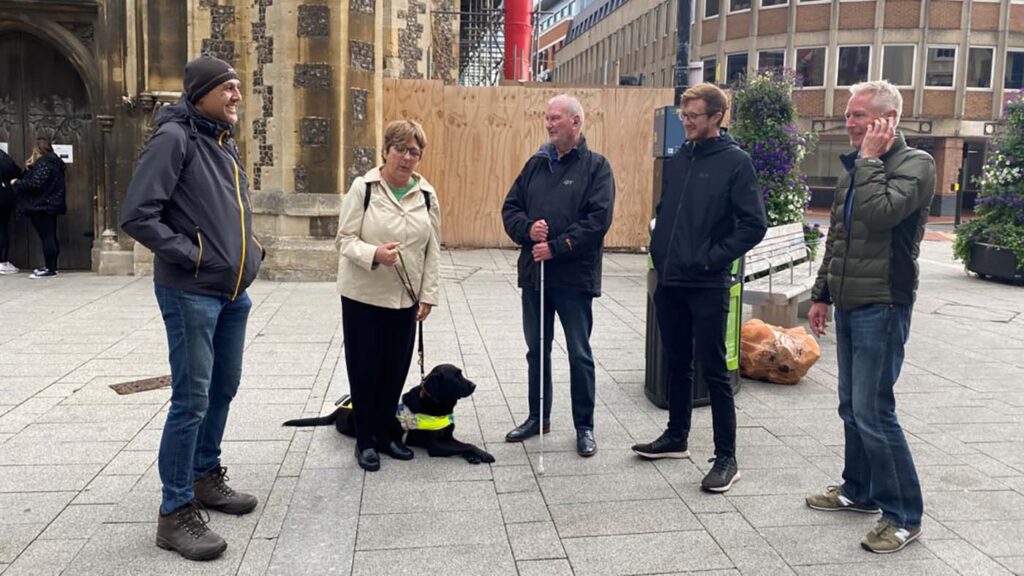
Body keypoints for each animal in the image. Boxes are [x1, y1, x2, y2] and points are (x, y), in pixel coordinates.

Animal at [282, 362, 493, 461]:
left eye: (461, 373)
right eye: (455, 377)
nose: (474, 385)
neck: (436, 404)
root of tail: (342, 406)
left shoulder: (448, 438)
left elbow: (463, 444)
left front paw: (474, 456)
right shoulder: (436, 446)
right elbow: (467, 445)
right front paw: (483, 455)